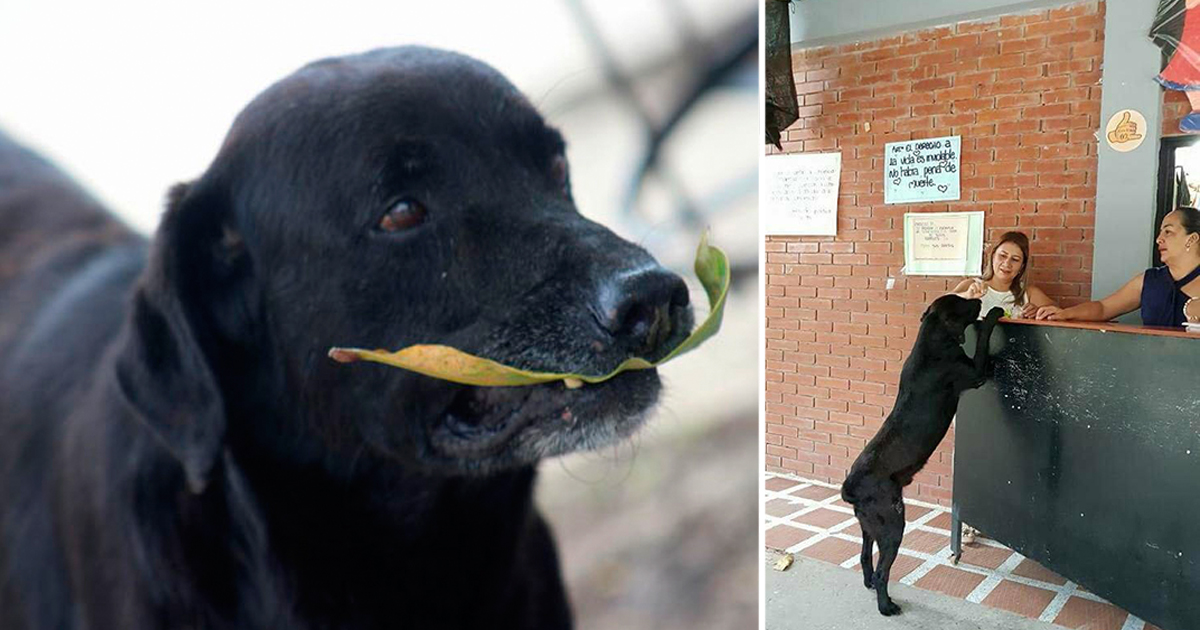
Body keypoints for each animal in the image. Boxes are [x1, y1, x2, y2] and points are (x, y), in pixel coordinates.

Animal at [844, 295, 1003, 614]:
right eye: (963, 302)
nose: (979, 298)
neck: (932, 339)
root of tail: (851, 486)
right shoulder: (974, 372)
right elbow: (983, 343)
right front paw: (993, 314)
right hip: (893, 526)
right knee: (883, 571)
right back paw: (886, 606)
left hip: (869, 527)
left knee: (865, 556)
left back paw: (870, 585)